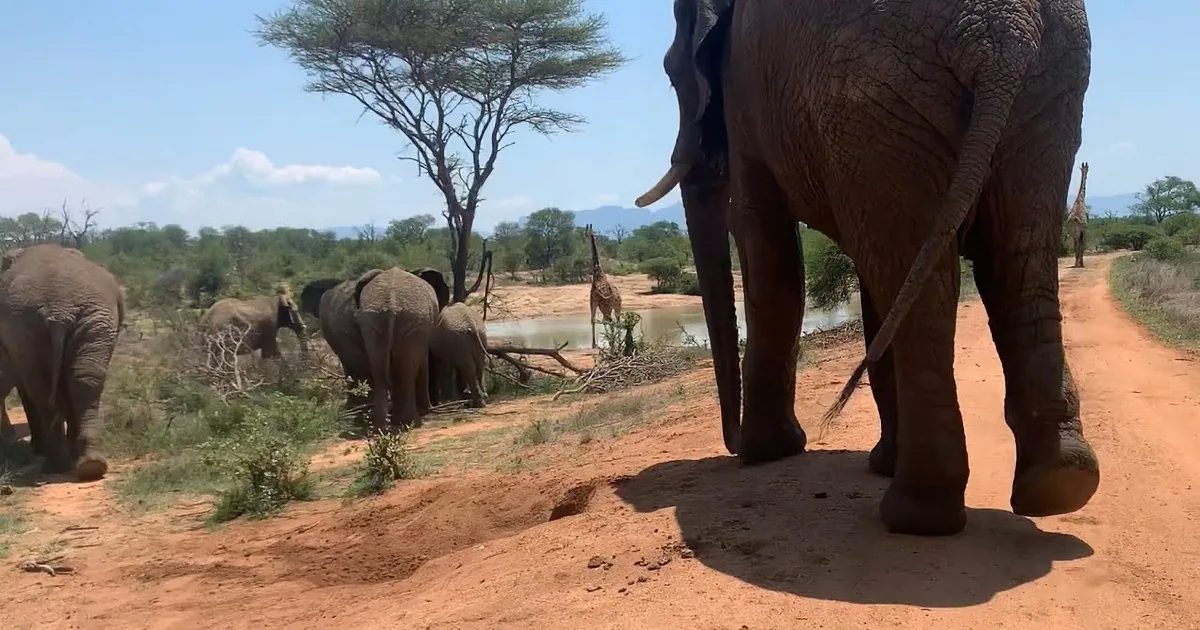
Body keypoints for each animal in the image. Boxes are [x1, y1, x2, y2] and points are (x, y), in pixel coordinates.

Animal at [0, 243, 125, 480]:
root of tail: (60, 312)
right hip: (49, 326)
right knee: (79, 382)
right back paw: (79, 465)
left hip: (77, 320)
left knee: (60, 386)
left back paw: (74, 465)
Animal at [353, 267, 440, 429]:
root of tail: (391, 305)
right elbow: (423, 361)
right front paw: (427, 410)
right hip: (412, 323)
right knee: (406, 370)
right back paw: (411, 421)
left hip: (373, 323)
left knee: (380, 371)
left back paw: (382, 426)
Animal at [634, 0, 1100, 535]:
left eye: (671, 72)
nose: (729, 444)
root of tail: (1001, 34)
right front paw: (873, 462)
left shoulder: (744, 91)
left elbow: (766, 248)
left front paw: (764, 453)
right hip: (1044, 91)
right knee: (1015, 261)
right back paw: (1059, 485)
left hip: (876, 97)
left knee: (921, 281)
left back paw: (916, 514)